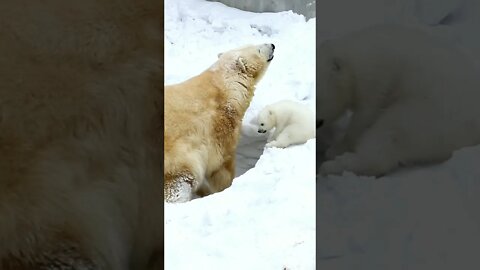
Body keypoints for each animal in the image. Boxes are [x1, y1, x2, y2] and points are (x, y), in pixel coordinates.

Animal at [164, 43, 274, 201]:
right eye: (258, 49)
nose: (272, 45)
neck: (224, 87)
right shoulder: (220, 126)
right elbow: (222, 164)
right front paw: (223, 187)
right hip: (175, 157)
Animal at [316, 23, 480, 177]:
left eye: (319, 98)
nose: (316, 123)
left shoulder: (376, 79)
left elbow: (365, 115)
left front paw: (336, 148)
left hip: (434, 114)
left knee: (389, 134)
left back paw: (334, 165)